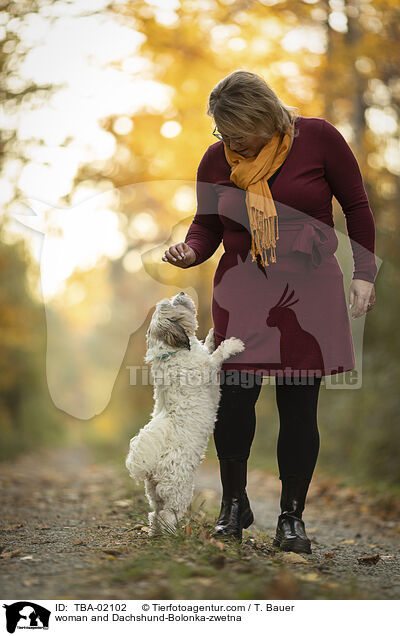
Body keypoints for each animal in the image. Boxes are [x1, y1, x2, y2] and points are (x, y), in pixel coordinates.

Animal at [125, 294, 244, 536]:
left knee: (154, 514)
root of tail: (152, 463)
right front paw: (232, 345)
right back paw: (173, 535)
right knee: (168, 515)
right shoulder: (207, 369)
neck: (172, 352)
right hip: (178, 490)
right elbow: (216, 356)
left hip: (155, 493)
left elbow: (208, 347)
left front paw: (211, 336)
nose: (181, 293)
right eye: (174, 305)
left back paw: (155, 533)